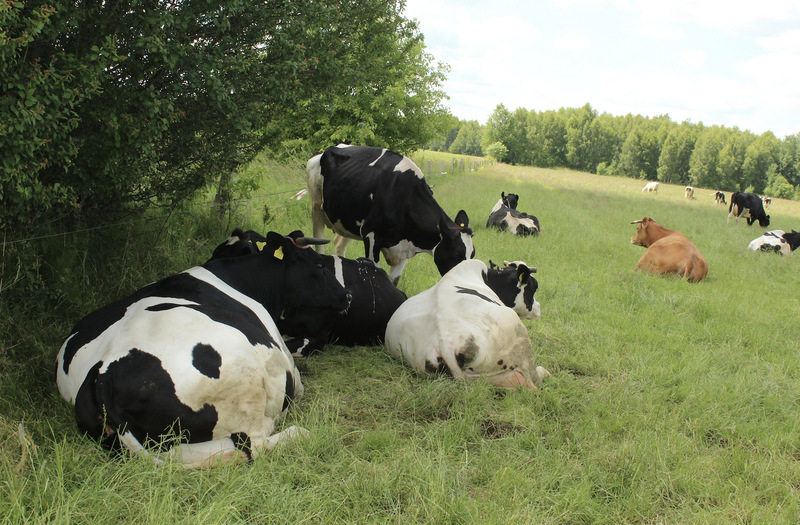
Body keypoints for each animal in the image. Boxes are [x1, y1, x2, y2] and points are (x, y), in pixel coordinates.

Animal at [56, 231, 350, 468]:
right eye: (318, 264)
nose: (346, 296)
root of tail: (103, 374)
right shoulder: (289, 368)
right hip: (245, 394)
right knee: (254, 446)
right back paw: (297, 433)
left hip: (169, 444)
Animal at [308, 144, 476, 286]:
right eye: (457, 253)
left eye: (473, 254)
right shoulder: (370, 236)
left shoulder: (405, 250)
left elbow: (393, 282)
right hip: (316, 205)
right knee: (319, 244)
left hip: (348, 221)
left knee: (339, 245)